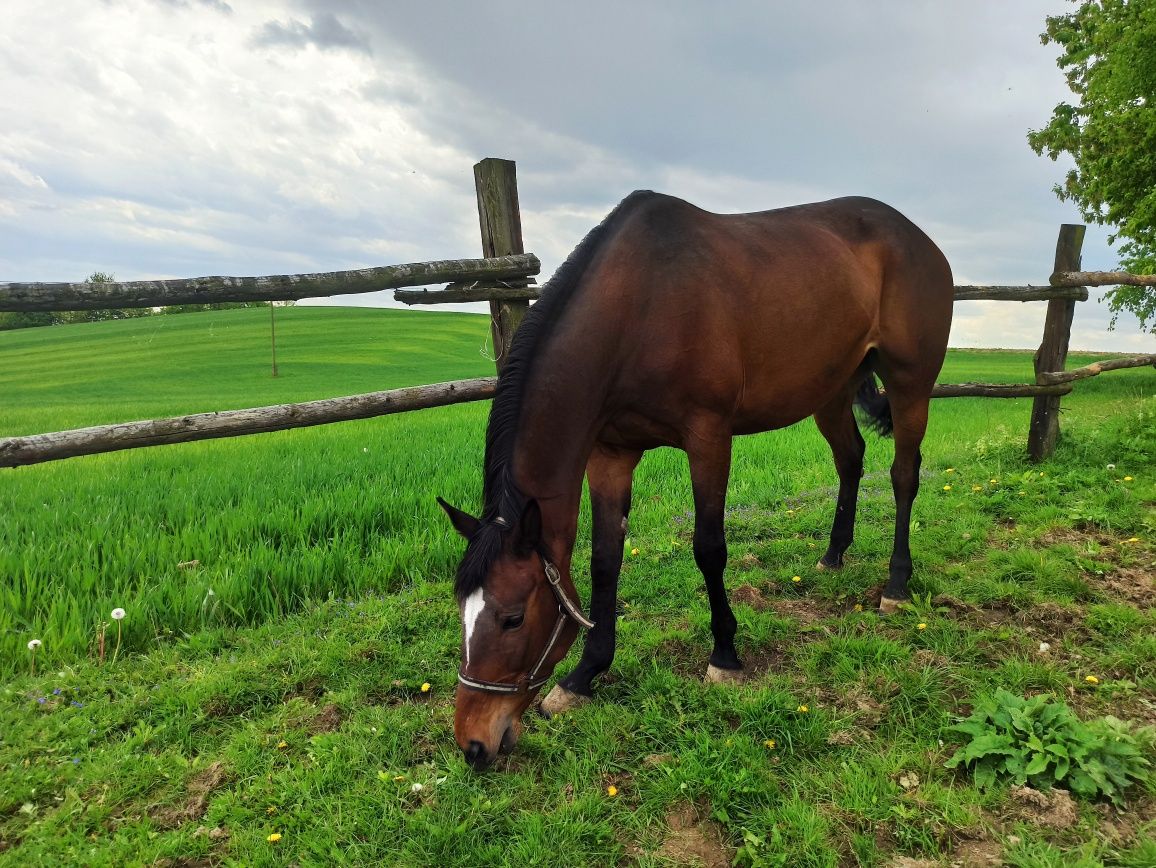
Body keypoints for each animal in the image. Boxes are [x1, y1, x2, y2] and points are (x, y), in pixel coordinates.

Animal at [436, 189, 952, 767]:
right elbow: (604, 562)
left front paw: (725, 654)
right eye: (461, 615)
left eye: (513, 619)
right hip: (832, 389)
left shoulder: (708, 437)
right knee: (852, 459)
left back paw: (896, 583)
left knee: (904, 475)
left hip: (910, 384)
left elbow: (709, 547)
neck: (638, 306)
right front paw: (584, 675)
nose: (473, 743)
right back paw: (834, 553)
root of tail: (916, 236)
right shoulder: (610, 454)